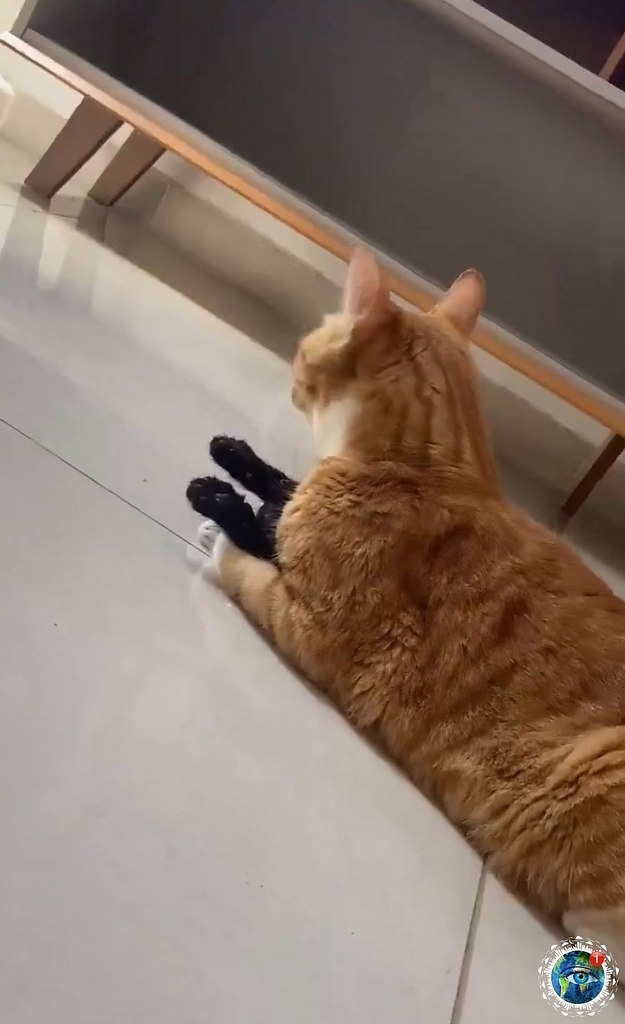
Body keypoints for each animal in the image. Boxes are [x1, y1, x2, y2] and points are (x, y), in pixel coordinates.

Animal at [198, 248, 625, 954]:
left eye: (303, 350)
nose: (291, 375)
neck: (432, 463)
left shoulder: (315, 628)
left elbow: (252, 564)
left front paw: (219, 519)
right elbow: (279, 496)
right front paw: (237, 461)